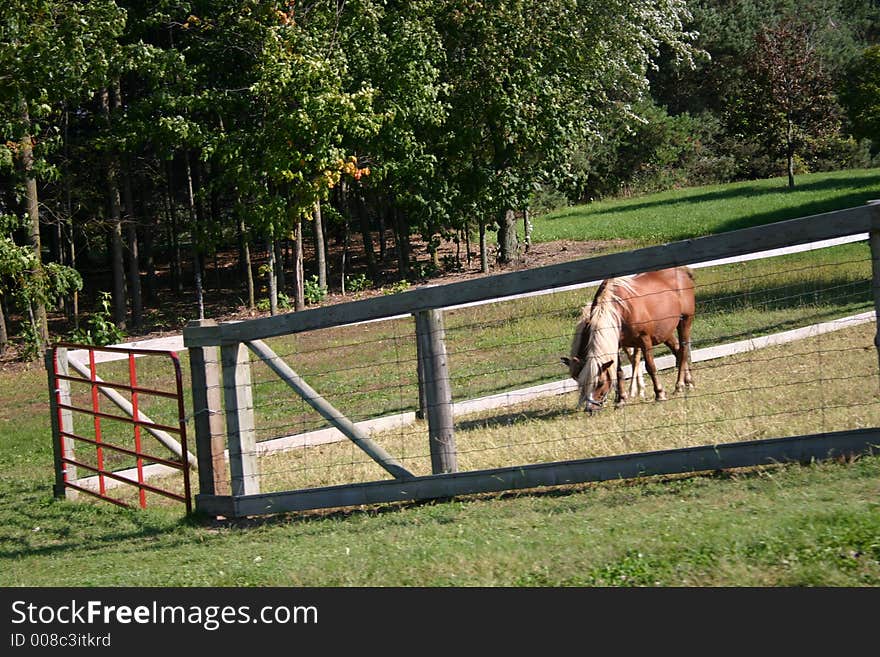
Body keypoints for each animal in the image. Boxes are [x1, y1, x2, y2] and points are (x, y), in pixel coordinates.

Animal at [564, 266, 696, 410]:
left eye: (600, 382)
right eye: (581, 382)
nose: (590, 408)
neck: (620, 309)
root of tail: (682, 271)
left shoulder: (644, 340)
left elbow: (650, 367)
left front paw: (659, 394)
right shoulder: (617, 344)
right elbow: (618, 372)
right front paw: (621, 399)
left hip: (685, 321)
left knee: (683, 351)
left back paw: (679, 385)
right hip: (666, 331)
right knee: (677, 350)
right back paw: (688, 382)